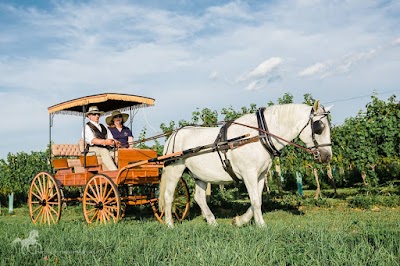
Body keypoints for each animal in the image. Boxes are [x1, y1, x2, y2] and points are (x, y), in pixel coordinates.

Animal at [159, 101, 332, 227]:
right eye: (319, 127)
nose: (327, 156)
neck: (258, 135)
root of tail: (173, 135)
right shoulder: (249, 173)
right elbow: (255, 200)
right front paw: (261, 225)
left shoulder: (261, 175)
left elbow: (257, 199)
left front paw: (240, 220)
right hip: (175, 170)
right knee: (169, 196)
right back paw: (170, 224)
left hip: (199, 175)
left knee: (199, 198)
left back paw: (212, 221)